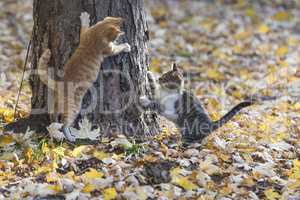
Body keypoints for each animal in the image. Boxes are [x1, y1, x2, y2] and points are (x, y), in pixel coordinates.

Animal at [37, 12, 131, 141]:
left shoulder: (85, 34)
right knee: (65, 123)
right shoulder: (110, 50)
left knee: (53, 117)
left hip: (56, 106)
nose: (123, 20)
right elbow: (118, 48)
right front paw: (126, 46)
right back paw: (69, 136)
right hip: (74, 108)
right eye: (117, 36)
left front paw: (85, 17)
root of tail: (59, 84)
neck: (97, 32)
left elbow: (84, 26)